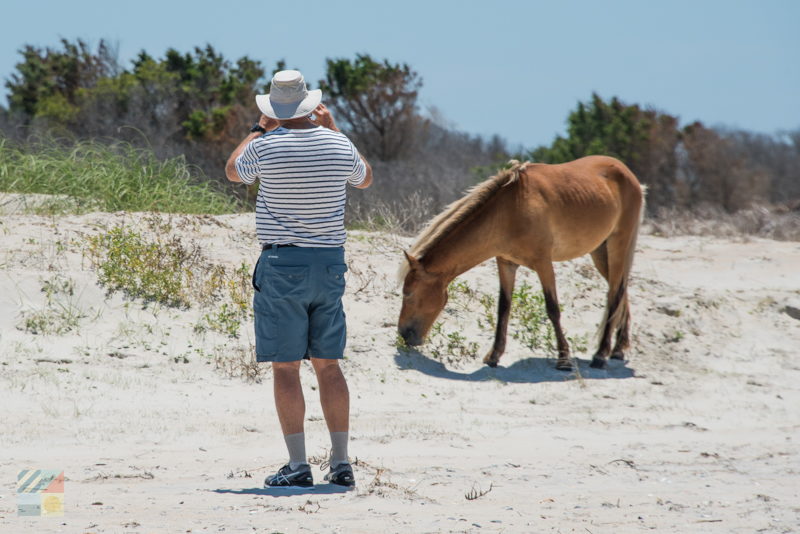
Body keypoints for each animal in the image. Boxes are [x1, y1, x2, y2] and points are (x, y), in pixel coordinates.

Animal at [398, 157, 644, 370]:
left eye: (408, 293)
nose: (403, 334)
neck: (510, 211)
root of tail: (629, 175)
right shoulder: (506, 264)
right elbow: (503, 307)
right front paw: (494, 355)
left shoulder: (544, 264)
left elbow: (552, 308)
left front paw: (564, 359)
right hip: (600, 252)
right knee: (620, 290)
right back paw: (618, 349)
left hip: (618, 246)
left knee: (614, 295)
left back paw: (601, 355)